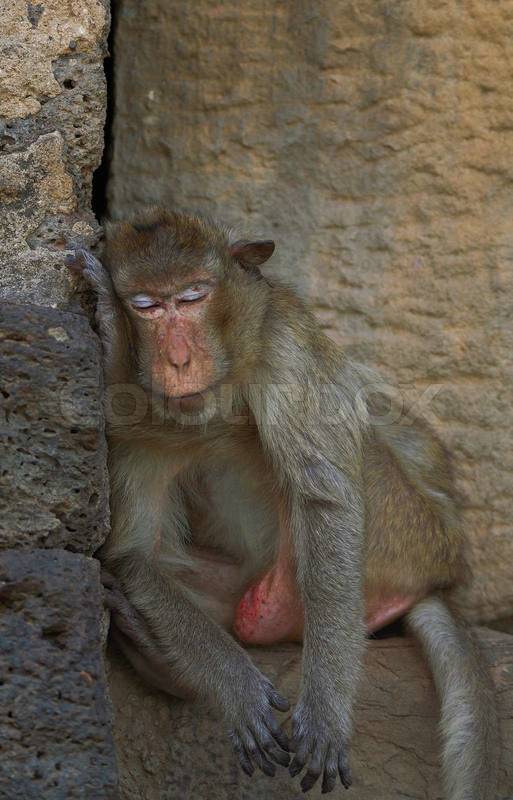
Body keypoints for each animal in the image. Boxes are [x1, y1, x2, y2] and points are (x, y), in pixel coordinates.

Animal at [67, 209, 498, 798]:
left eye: (194, 296)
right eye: (146, 305)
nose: (176, 360)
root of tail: (441, 575)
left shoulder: (285, 349)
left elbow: (325, 501)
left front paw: (325, 712)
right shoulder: (140, 432)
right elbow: (136, 554)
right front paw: (235, 687)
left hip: (403, 531)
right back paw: (159, 655)